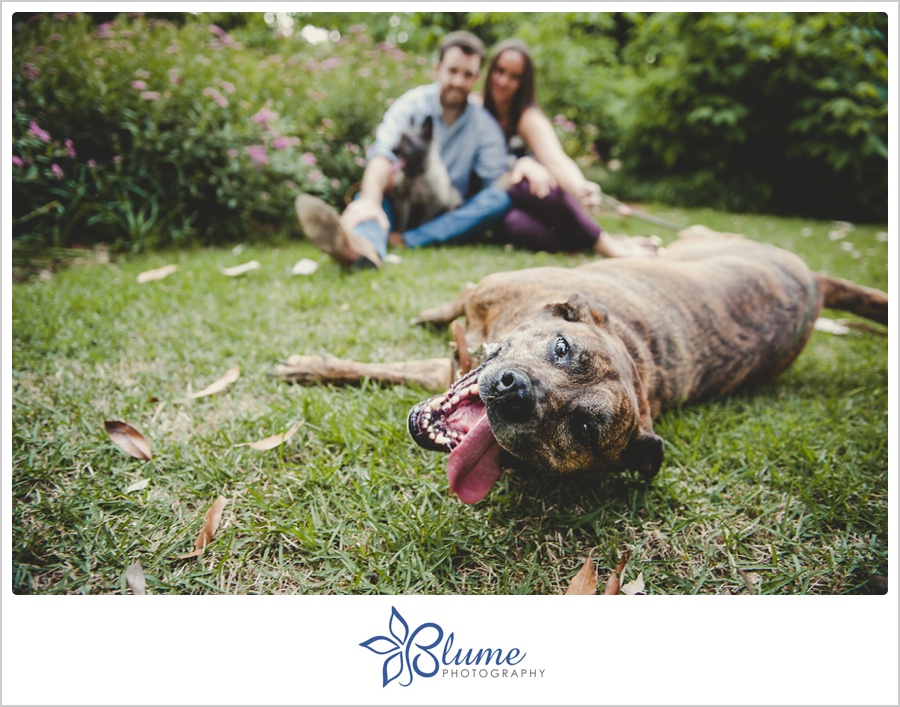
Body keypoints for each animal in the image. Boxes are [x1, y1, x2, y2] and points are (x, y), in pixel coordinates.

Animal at [276, 227, 884, 504]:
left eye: (585, 426)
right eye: (562, 348)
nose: (513, 389)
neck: (636, 355)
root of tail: (813, 279)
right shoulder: (473, 315)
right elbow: (391, 356)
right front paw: (315, 364)